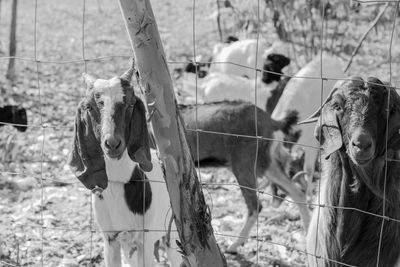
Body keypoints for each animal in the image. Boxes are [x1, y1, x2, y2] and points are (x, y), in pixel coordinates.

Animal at [69, 69, 181, 267]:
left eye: (130, 104)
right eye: (89, 106)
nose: (112, 143)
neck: (118, 183)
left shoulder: (145, 239)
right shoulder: (110, 239)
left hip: (172, 230)